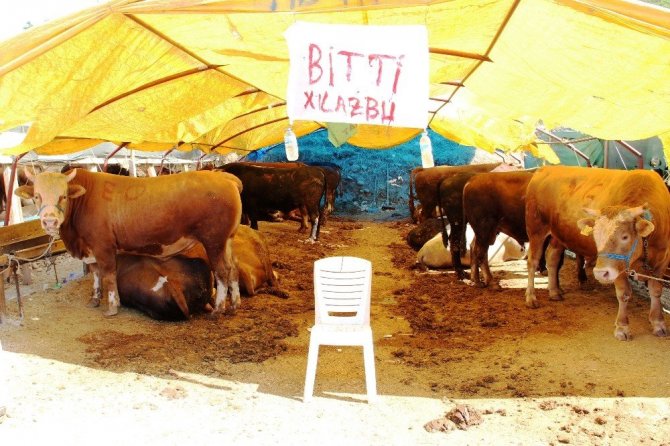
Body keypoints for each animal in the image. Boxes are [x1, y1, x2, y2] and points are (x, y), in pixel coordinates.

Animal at [15, 168, 243, 317]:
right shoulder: (91, 250)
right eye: (37, 196)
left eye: (63, 196)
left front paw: (112, 306)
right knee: (233, 269)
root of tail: (223, 175)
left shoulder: (103, 246)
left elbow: (108, 276)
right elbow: (95, 274)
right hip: (227, 240)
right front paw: (95, 300)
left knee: (222, 272)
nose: (50, 221)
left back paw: (219, 309)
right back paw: (235, 305)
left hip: (214, 241)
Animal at [524, 165, 670, 340]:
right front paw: (622, 327)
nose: (600, 273)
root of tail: (545, 168)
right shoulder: (618, 268)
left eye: (625, 236)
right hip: (536, 228)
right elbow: (624, 293)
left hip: (558, 235)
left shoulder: (662, 262)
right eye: (595, 235)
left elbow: (656, 291)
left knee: (552, 258)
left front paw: (658, 323)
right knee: (532, 262)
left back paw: (554, 292)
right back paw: (531, 297)